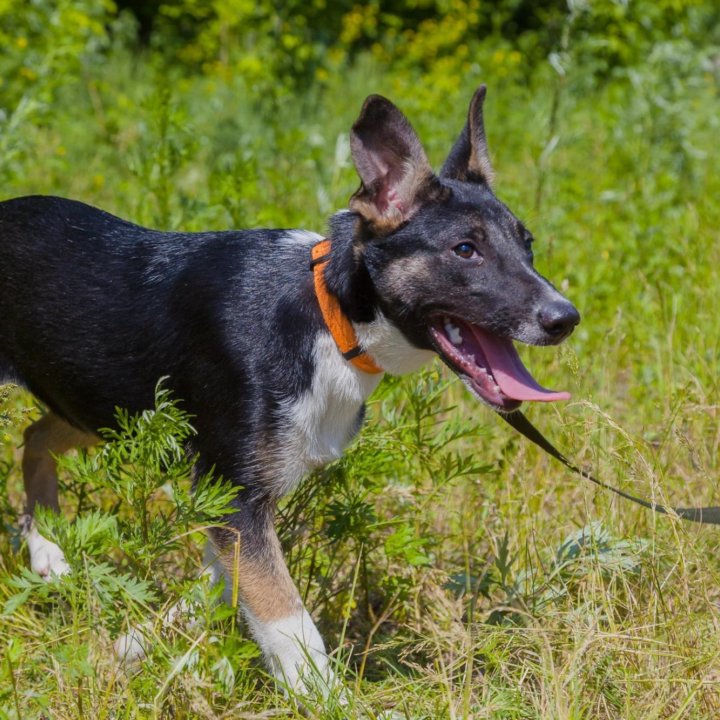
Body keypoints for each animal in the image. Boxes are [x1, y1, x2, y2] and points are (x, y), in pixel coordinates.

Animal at [0, 84, 580, 692]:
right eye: (466, 249)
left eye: (528, 244)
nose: (565, 318)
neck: (330, 321)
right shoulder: (235, 494)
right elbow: (286, 618)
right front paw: (329, 697)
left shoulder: (239, 496)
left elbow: (221, 583)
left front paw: (136, 645)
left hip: (100, 401)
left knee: (35, 437)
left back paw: (47, 550)